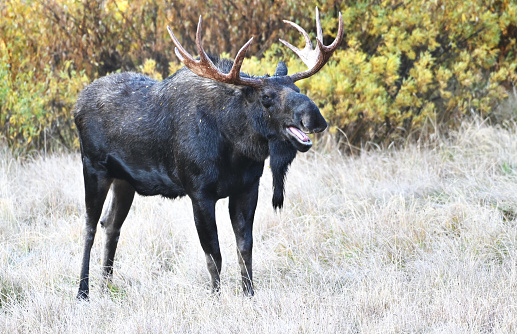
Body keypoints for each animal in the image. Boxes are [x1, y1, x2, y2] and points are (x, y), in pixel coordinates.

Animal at [73, 8, 342, 300]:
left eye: (297, 89)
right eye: (266, 97)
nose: (314, 117)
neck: (235, 148)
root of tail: (76, 106)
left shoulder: (247, 188)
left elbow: (244, 248)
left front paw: (249, 293)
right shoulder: (199, 193)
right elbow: (214, 254)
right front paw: (216, 296)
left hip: (124, 181)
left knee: (111, 224)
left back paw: (106, 284)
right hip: (93, 168)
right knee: (89, 227)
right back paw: (83, 290)